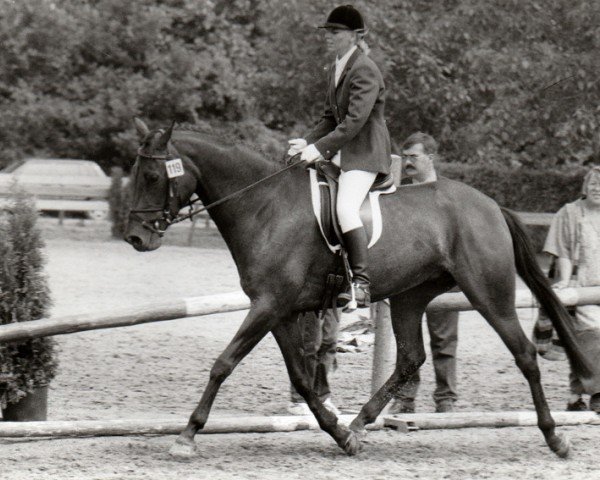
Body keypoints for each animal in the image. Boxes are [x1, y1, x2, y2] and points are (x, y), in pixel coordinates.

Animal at [125, 118, 592, 460]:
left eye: (152, 175)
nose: (135, 238)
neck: (264, 205)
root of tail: (491, 205)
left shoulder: (268, 305)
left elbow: (223, 364)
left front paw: (187, 435)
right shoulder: (278, 310)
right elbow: (303, 377)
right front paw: (338, 434)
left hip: (489, 294)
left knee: (525, 355)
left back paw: (555, 438)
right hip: (410, 297)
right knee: (410, 359)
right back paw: (359, 425)